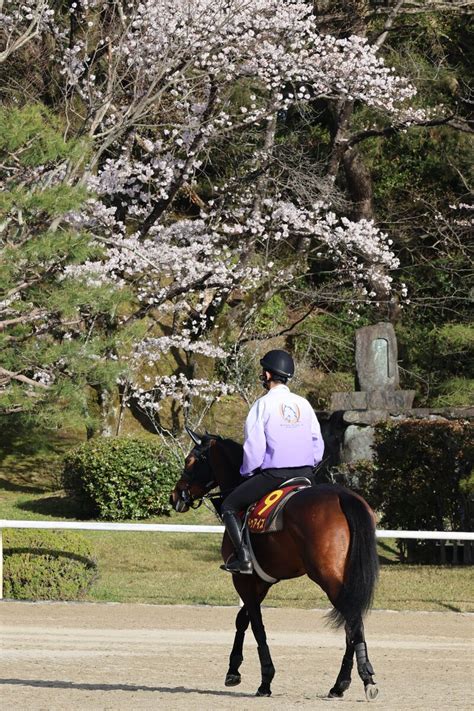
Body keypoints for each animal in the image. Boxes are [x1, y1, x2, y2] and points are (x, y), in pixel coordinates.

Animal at [168, 432, 380, 704]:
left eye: (190, 460)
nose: (175, 495)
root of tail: (343, 496)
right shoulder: (261, 582)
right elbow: (242, 619)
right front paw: (233, 669)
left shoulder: (244, 580)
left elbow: (256, 626)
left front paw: (264, 679)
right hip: (347, 579)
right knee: (352, 624)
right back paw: (340, 684)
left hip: (329, 579)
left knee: (353, 621)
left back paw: (365, 678)